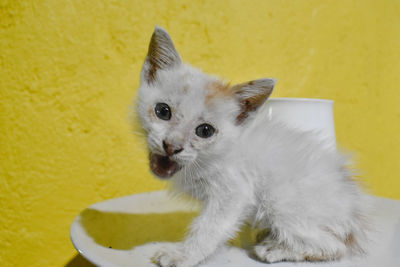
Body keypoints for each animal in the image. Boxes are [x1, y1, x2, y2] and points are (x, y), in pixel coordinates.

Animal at [137, 26, 368, 266]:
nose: (171, 146)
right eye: (163, 111)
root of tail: (352, 209)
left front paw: (183, 255)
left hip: (280, 200)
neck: (214, 156)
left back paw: (274, 249)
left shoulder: (234, 192)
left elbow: (209, 228)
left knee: (334, 247)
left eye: (205, 131)